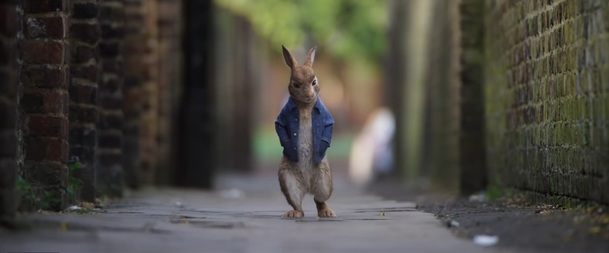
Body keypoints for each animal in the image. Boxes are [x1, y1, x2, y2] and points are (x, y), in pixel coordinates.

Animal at [276, 46, 338, 217]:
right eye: (295, 84)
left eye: (314, 81)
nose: (309, 95)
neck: (304, 106)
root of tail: (307, 186)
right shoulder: (282, 116)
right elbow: (280, 127)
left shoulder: (325, 116)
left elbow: (328, 126)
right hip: (288, 182)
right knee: (298, 205)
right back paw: (293, 213)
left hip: (324, 182)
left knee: (319, 199)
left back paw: (327, 212)